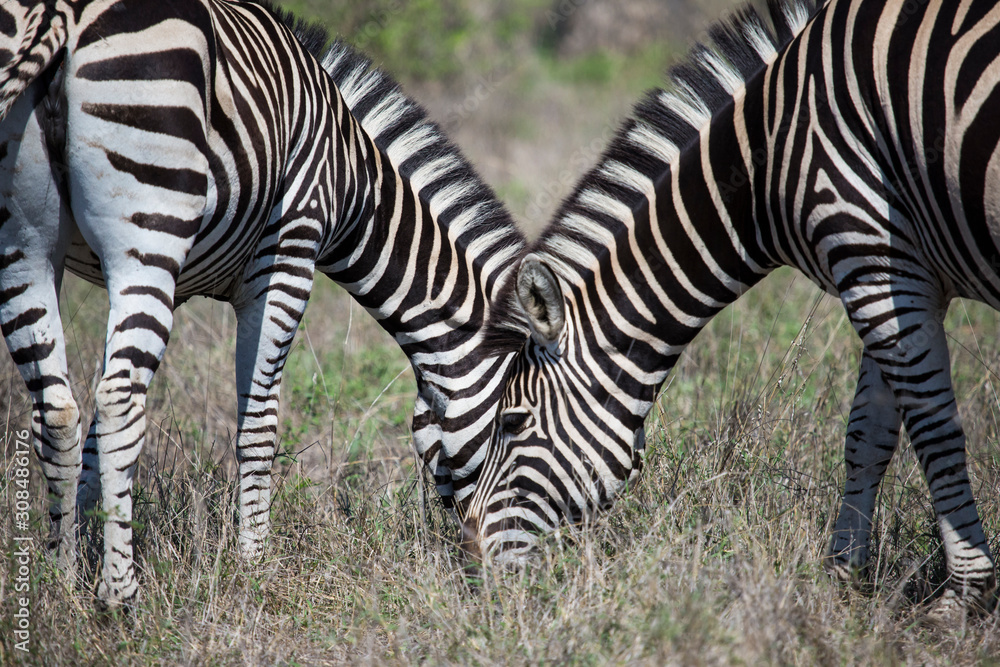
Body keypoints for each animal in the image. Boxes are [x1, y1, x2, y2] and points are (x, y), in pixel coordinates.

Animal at [0, 0, 525, 606]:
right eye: (518, 425)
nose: (490, 570)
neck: (353, 180)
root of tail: (58, 14)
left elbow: (92, 440)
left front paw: (86, 541)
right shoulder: (286, 255)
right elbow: (259, 425)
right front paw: (254, 565)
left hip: (25, 242)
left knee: (58, 409)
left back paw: (57, 589)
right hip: (147, 224)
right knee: (118, 401)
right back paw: (120, 596)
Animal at [463, 0, 1000, 616]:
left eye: (512, 422)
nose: (471, 562)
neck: (768, 159)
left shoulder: (873, 254)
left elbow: (934, 430)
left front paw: (962, 598)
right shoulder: (894, 272)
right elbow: (869, 434)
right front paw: (841, 579)